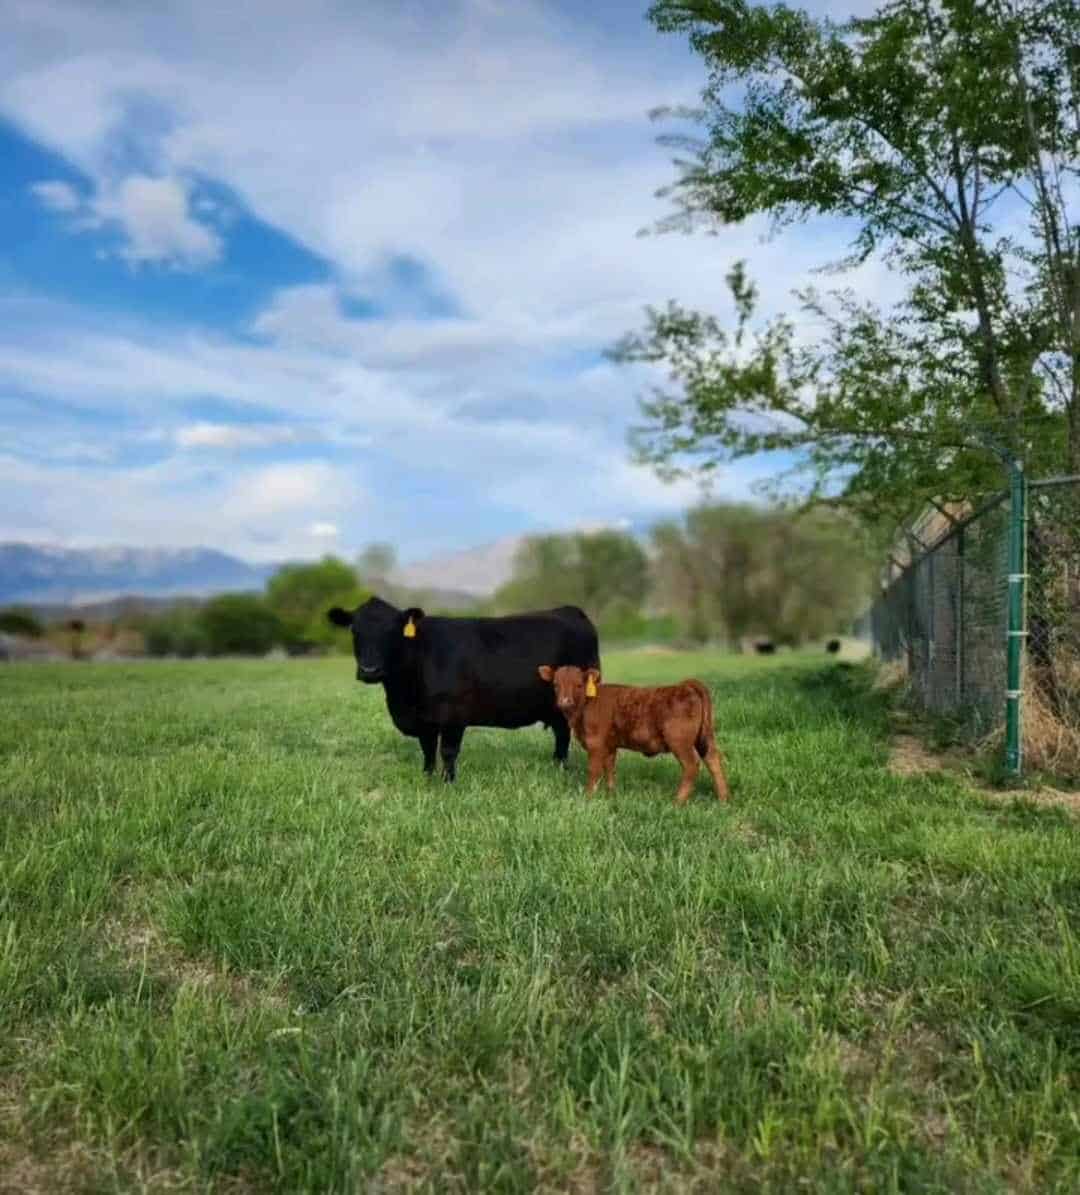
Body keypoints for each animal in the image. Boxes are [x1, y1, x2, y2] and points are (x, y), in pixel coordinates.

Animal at [327, 597, 600, 781]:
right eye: (355, 631)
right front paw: (427, 777)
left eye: (393, 632)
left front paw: (448, 782)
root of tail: (569, 611)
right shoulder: (424, 720)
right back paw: (558, 767)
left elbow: (448, 751)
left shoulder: (453, 715)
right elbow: (428, 750)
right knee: (561, 733)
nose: (370, 670)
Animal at [537, 664, 730, 805]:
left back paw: (678, 801)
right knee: (713, 760)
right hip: (705, 738)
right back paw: (724, 799)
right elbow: (609, 768)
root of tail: (685, 686)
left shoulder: (595, 744)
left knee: (691, 765)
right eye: (555, 684)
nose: (564, 701)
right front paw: (611, 794)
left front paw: (589, 796)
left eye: (578, 685)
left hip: (680, 742)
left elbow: (593, 770)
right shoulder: (609, 745)